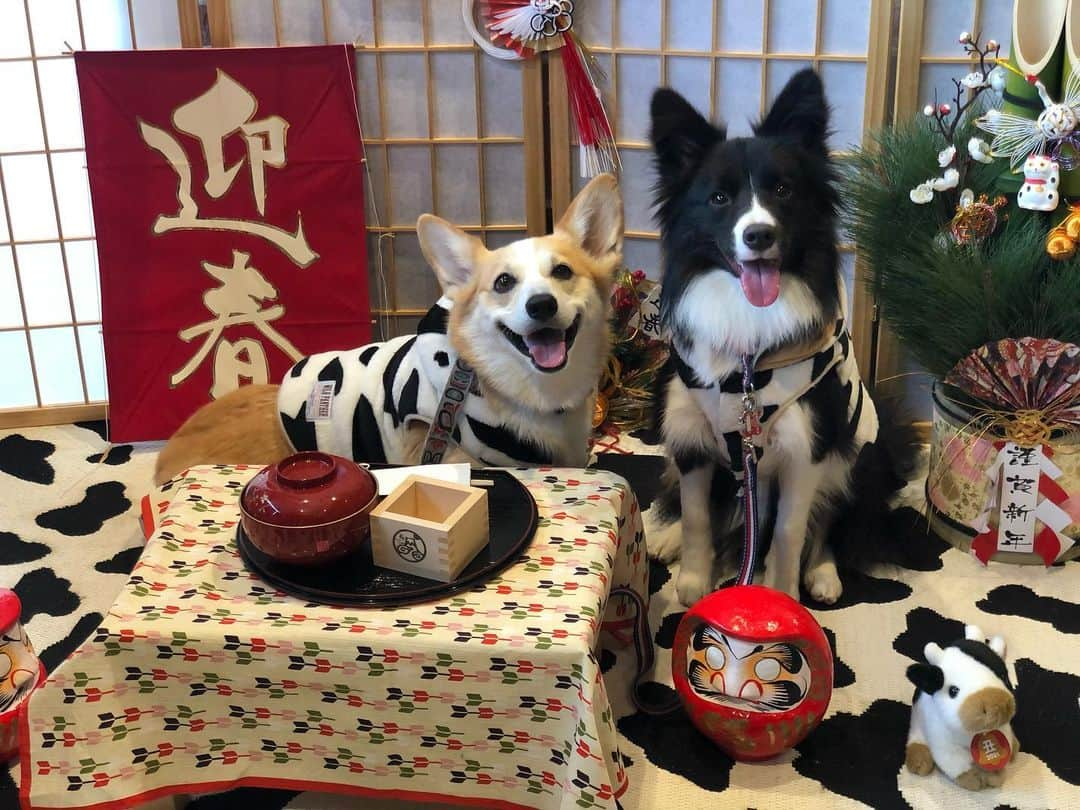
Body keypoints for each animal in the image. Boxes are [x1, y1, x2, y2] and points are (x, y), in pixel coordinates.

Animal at [648, 69, 911, 604]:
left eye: (784, 191)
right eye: (719, 198)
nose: (758, 235)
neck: (748, 363)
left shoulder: (807, 444)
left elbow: (790, 530)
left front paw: (782, 590)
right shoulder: (689, 431)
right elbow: (697, 514)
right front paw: (692, 581)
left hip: (859, 453)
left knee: (829, 519)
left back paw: (824, 573)